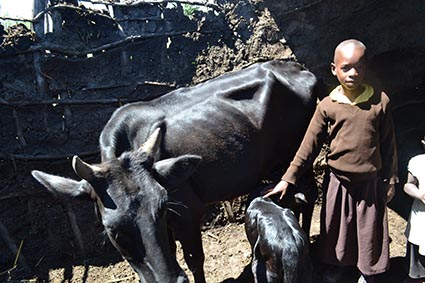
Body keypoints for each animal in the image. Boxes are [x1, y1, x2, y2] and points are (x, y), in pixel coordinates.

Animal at [30, 60, 314, 283]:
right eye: (112, 230)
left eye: (163, 206)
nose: (169, 280)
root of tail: (297, 67)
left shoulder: (188, 213)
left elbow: (194, 259)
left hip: (300, 153)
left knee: (308, 196)